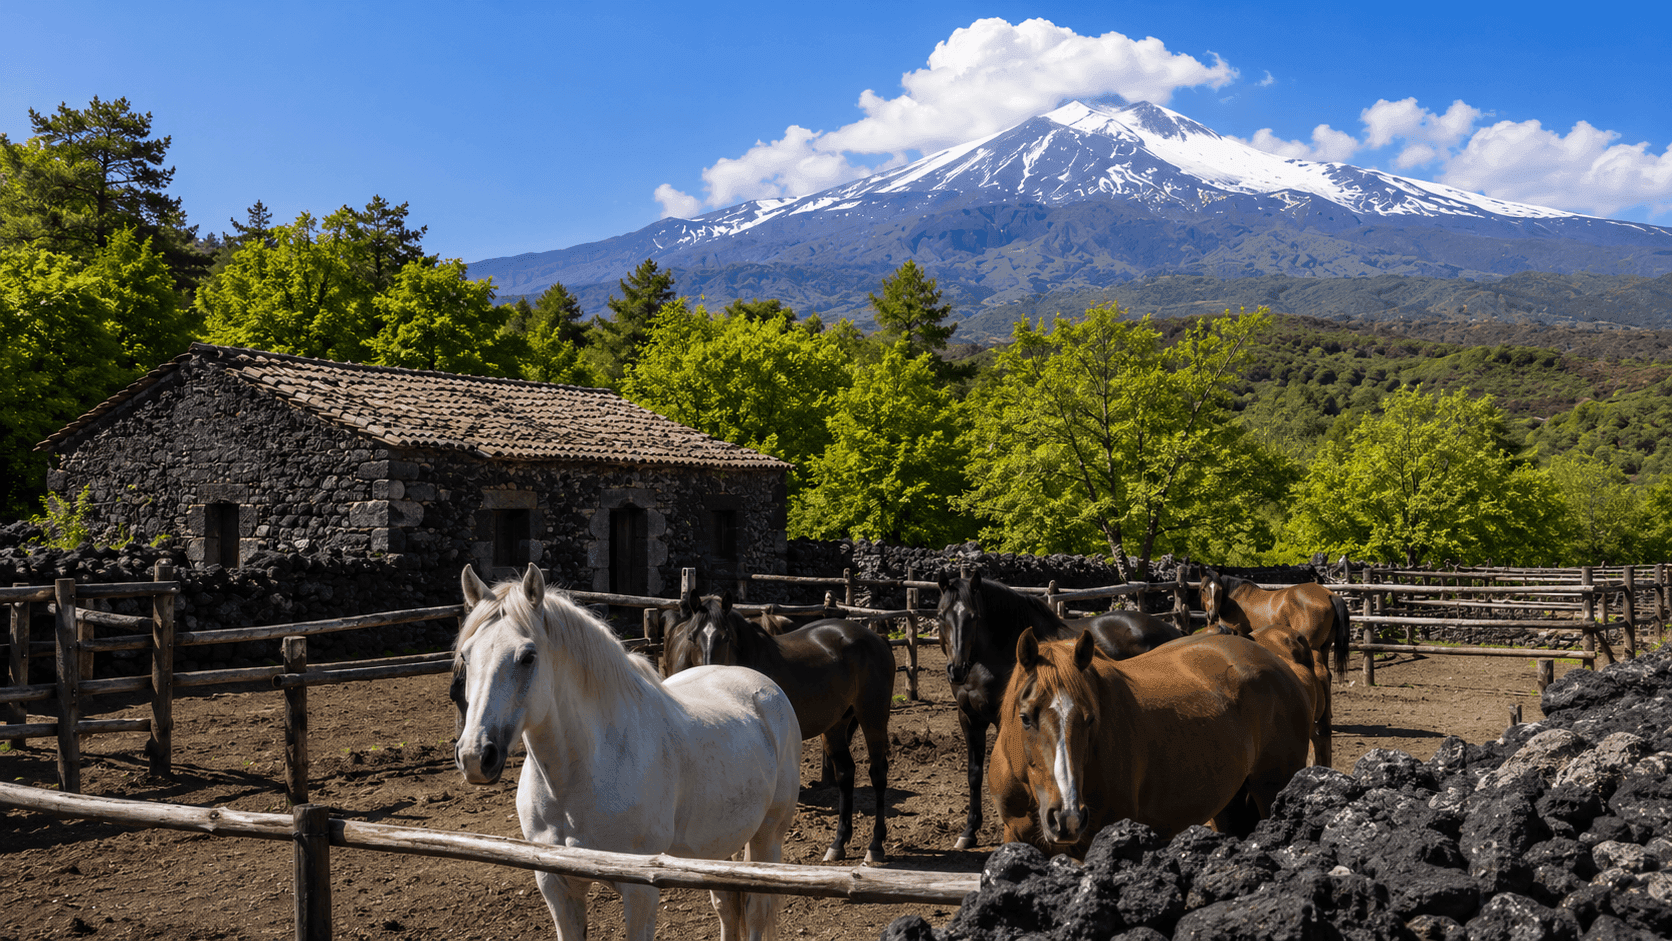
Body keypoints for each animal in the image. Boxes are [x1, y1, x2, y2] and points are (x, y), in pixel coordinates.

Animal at [452, 565, 801, 941]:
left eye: (528, 656)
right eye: (465, 655)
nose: (475, 756)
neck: (583, 775)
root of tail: (764, 688)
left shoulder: (641, 889)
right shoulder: (556, 885)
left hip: (767, 837)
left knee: (756, 911)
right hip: (718, 843)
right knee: (727, 904)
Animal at [666, 588, 896, 863]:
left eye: (726, 637)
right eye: (691, 637)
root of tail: (876, 638)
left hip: (873, 718)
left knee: (878, 774)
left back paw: (875, 847)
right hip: (835, 726)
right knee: (845, 773)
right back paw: (837, 844)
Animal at [935, 571, 1186, 850]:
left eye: (974, 616)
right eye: (940, 615)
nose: (957, 669)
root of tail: (1173, 630)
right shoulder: (969, 717)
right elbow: (974, 774)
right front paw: (969, 831)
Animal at [989, 628, 1313, 859]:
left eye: (1090, 719)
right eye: (1025, 717)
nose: (1066, 817)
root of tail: (1277, 661)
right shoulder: (1017, 838)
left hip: (1271, 790)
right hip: (1229, 805)